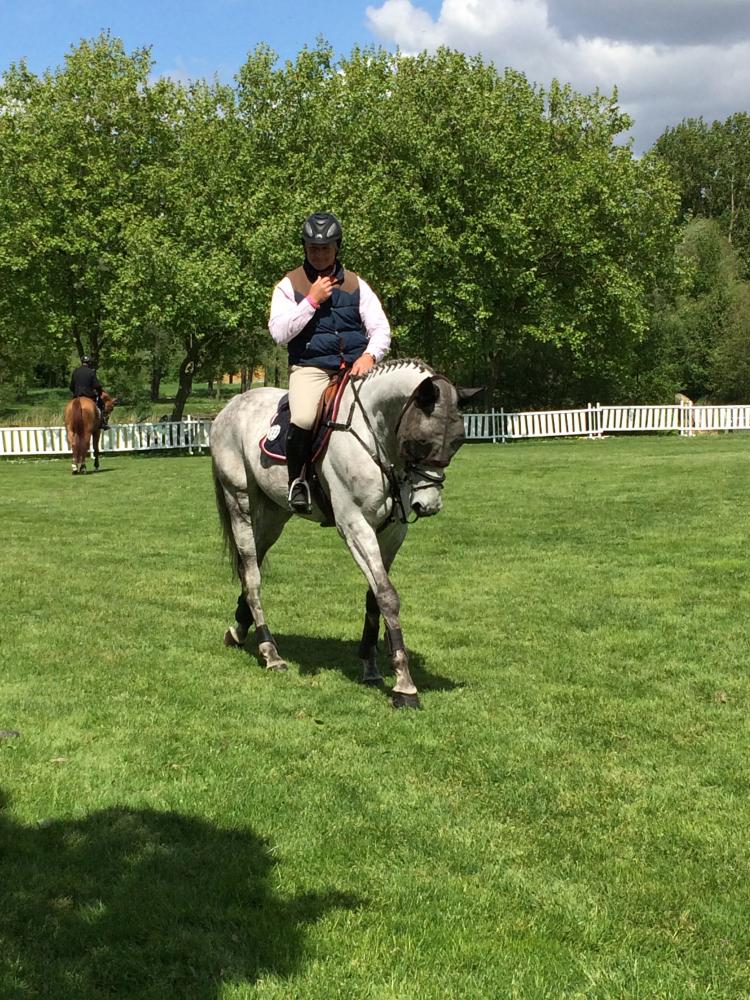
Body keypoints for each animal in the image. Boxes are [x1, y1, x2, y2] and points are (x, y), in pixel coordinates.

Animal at [211, 358, 471, 709]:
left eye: (457, 442)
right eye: (420, 442)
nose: (428, 505)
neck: (375, 437)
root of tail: (232, 406)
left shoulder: (392, 531)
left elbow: (375, 596)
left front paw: (371, 667)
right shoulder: (354, 526)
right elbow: (387, 596)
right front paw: (404, 686)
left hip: (272, 516)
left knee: (248, 568)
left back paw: (238, 631)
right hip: (240, 504)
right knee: (252, 574)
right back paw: (270, 652)